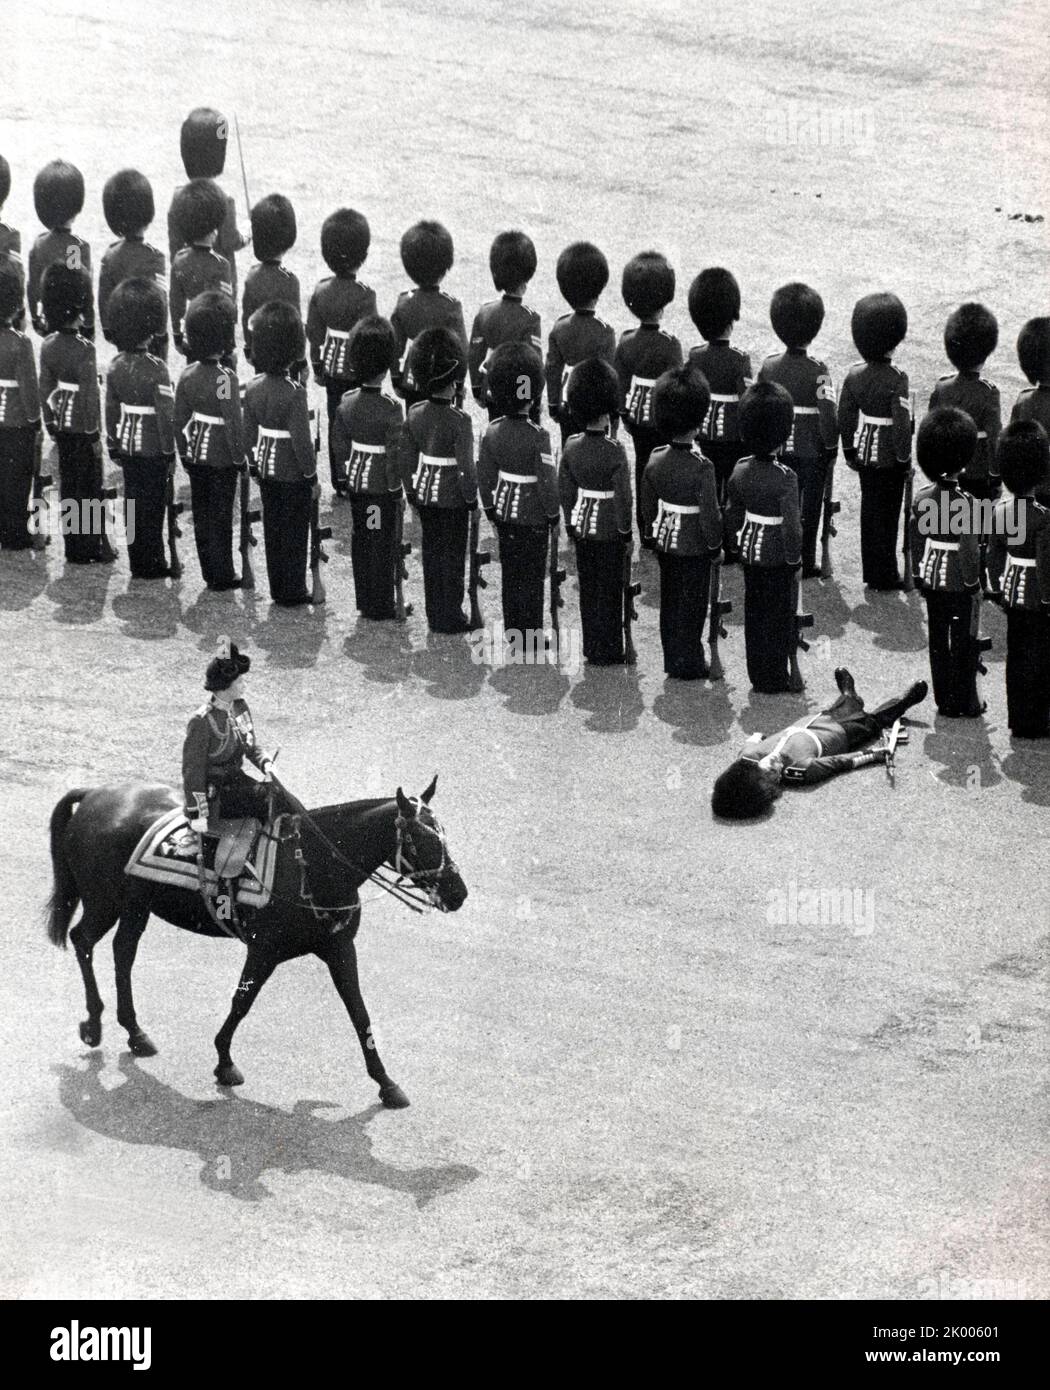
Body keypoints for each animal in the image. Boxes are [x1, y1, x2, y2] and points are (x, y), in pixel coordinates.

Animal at [45, 778, 464, 1100]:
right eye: (421, 840)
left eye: (445, 836)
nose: (459, 893)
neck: (311, 865)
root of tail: (96, 793)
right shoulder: (264, 950)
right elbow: (241, 1002)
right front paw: (224, 1061)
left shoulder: (340, 949)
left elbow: (359, 1012)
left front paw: (386, 1083)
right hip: (105, 903)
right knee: (83, 941)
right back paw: (94, 1023)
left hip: (135, 907)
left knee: (123, 952)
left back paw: (134, 1032)